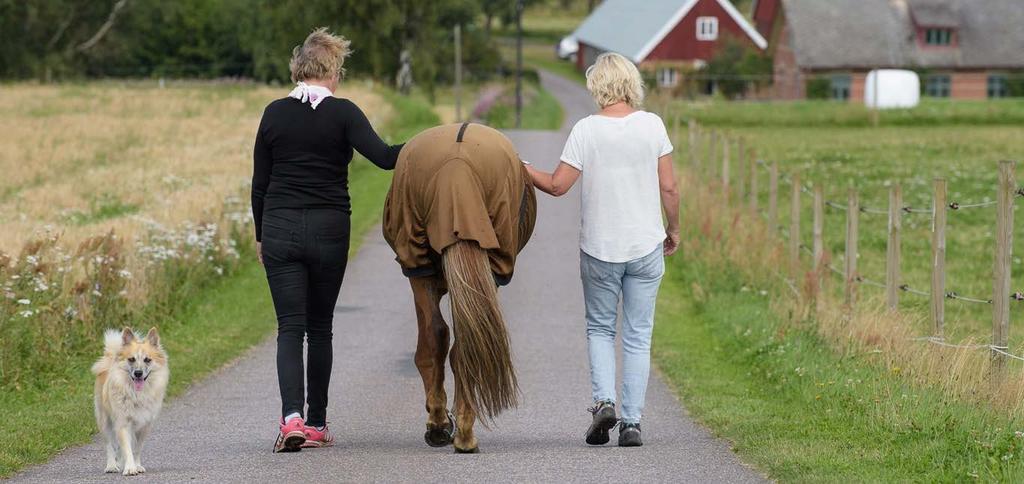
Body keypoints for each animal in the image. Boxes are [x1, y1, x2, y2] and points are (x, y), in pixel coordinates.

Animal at [92, 325, 167, 472]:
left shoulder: (145, 426)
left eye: (147, 360)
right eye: (131, 359)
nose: (138, 373)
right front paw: (130, 468)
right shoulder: (123, 423)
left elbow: (136, 449)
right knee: (109, 445)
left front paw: (136, 465)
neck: (136, 394)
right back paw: (112, 466)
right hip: (104, 421)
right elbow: (127, 449)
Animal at [385, 121, 540, 452]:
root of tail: (456, 168)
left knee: (442, 339)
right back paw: (460, 432)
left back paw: (449, 429)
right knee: (454, 344)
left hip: (422, 266)